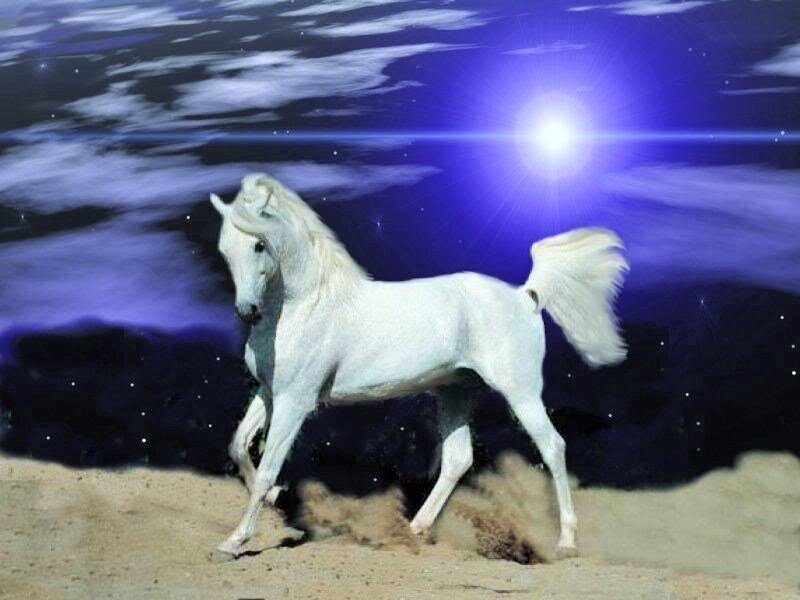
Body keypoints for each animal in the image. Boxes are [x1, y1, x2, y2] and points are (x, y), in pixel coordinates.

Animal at [208, 173, 628, 561]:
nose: (247, 311)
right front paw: (275, 497)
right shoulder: (269, 393)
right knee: (458, 459)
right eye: (225, 248)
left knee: (553, 447)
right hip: (455, 391)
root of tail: (525, 295)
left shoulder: (295, 401)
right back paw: (414, 530)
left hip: (520, 391)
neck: (309, 304)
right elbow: (238, 446)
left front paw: (233, 542)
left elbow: (267, 468)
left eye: (259, 244)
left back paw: (566, 543)